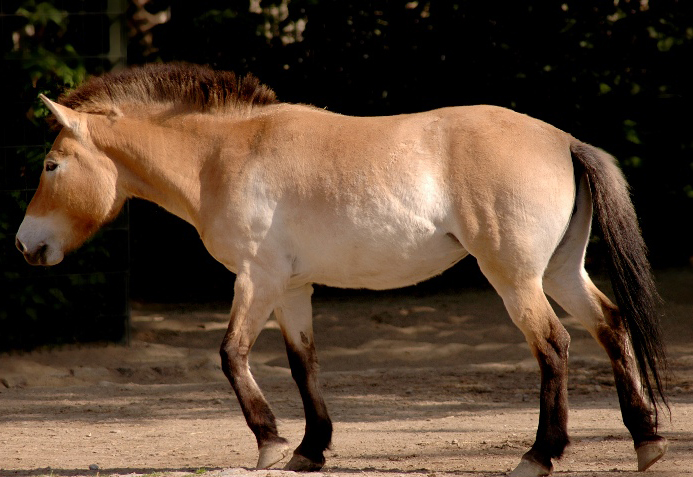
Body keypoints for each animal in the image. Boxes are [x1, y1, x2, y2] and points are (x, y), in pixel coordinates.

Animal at [14, 64, 664, 476]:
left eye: (51, 165)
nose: (24, 245)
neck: (220, 157)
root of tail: (564, 140)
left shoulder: (256, 279)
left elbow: (231, 354)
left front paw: (270, 443)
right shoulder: (291, 288)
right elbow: (304, 364)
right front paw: (310, 449)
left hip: (516, 278)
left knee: (553, 345)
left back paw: (539, 455)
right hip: (558, 272)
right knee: (611, 326)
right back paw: (647, 441)